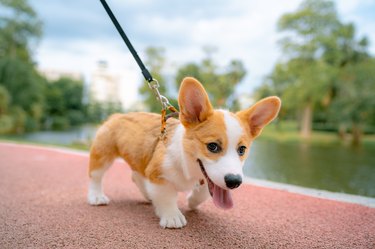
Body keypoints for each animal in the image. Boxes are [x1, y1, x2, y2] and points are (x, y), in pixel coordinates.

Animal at [87, 77, 282, 229]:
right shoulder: (158, 175)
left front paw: (192, 202)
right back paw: (96, 197)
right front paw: (172, 217)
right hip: (102, 154)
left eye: (242, 150)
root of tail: (116, 115)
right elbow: (167, 197)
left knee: (136, 175)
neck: (188, 166)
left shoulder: (205, 179)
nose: (234, 182)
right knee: (96, 176)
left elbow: (205, 192)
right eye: (212, 146)